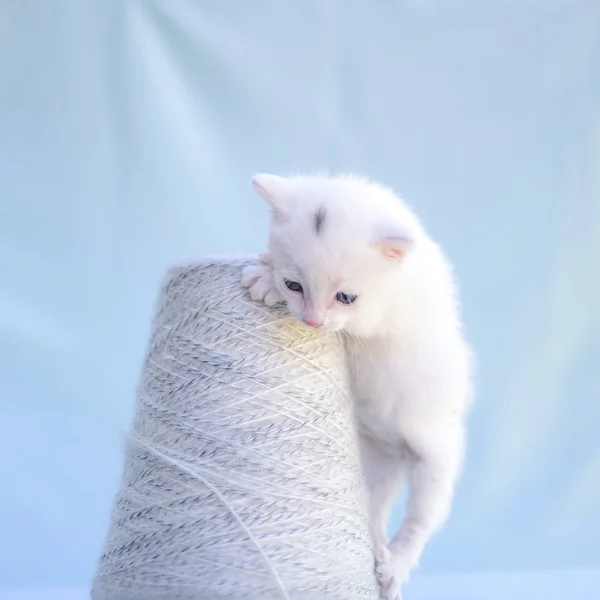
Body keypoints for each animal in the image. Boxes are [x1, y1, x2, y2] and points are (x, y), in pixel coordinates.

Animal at [240, 173, 474, 600]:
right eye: (295, 284)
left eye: (345, 297)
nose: (313, 321)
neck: (403, 279)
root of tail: (396, 450)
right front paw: (266, 269)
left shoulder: (381, 318)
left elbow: (361, 325)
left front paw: (264, 280)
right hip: (371, 459)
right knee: (373, 508)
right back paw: (377, 548)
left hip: (436, 457)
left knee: (422, 519)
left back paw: (395, 566)